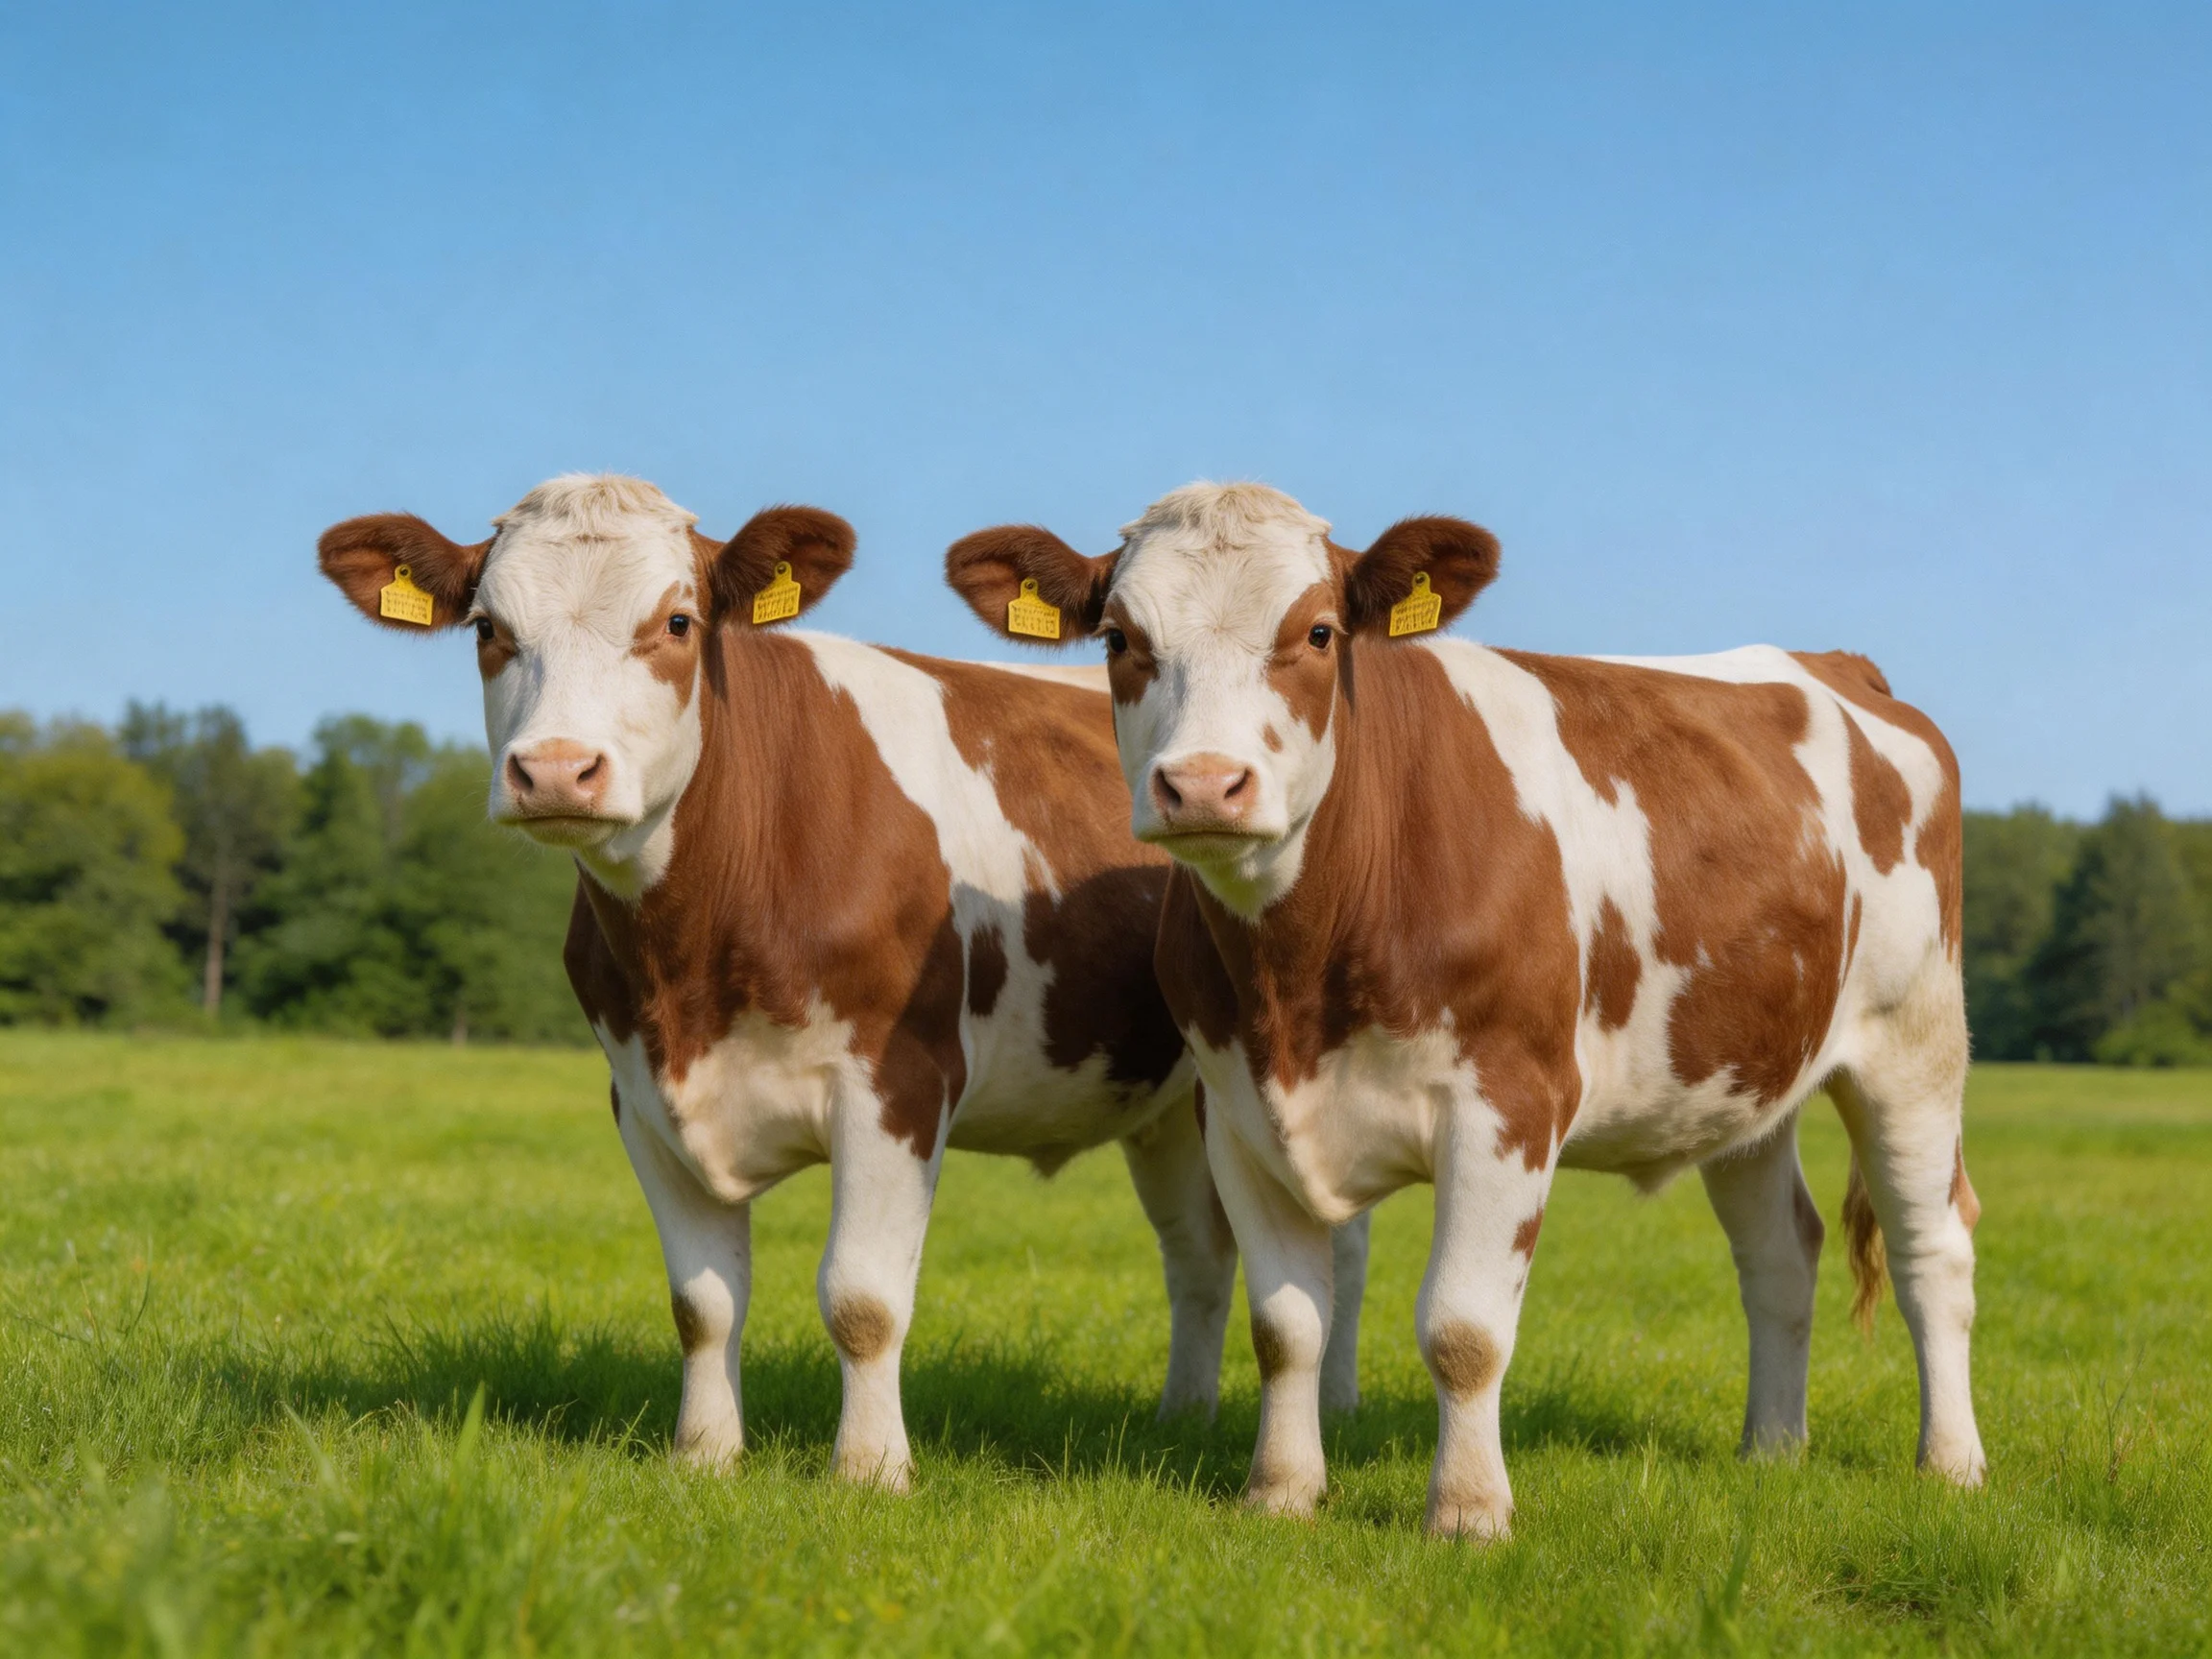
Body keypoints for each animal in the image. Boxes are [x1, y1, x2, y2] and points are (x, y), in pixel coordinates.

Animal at [316, 473, 1370, 1490]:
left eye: (677, 623)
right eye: (488, 630)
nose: (557, 770)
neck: (694, 961)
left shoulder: (896, 1083)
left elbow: (862, 1299)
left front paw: (869, 1469)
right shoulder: (643, 1099)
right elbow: (702, 1303)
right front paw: (704, 1455)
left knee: (1340, 1248)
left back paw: (1338, 1411)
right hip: (1171, 1099)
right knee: (1199, 1254)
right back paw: (1181, 1417)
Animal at [946, 480, 1984, 1537]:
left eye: (1318, 632)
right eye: (1119, 638)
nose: (1203, 784)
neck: (1301, 974)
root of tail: (1834, 664)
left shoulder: (1508, 1104)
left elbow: (1464, 1329)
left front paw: (1469, 1512)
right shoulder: (1239, 1115)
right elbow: (1286, 1326)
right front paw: (1281, 1492)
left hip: (1915, 1043)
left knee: (1931, 1250)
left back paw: (1951, 1464)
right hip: (1737, 1075)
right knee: (1780, 1253)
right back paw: (1771, 1449)